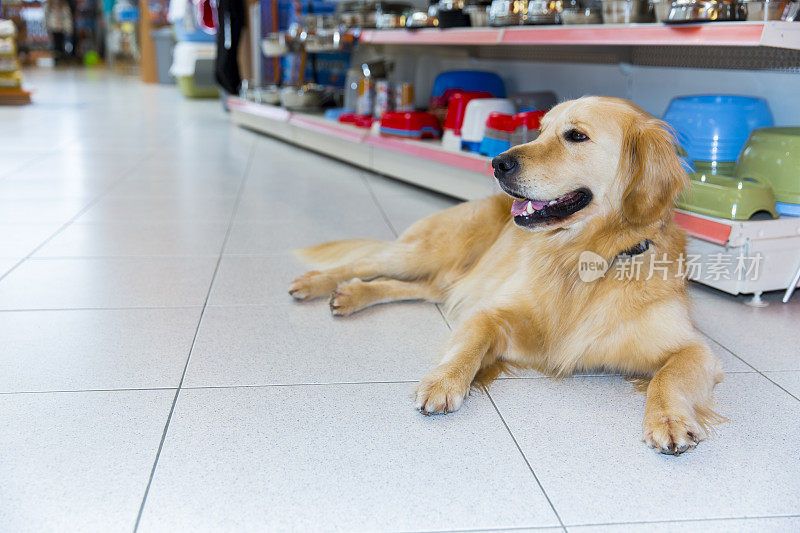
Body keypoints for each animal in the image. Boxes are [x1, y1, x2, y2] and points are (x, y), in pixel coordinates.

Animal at [290, 94, 724, 454]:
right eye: (541, 129)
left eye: (576, 135)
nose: (497, 162)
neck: (584, 258)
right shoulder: (493, 313)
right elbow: (468, 345)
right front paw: (443, 382)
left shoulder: (694, 348)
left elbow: (669, 376)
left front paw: (669, 418)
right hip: (429, 251)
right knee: (364, 263)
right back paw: (317, 283)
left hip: (447, 276)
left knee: (407, 286)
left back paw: (351, 295)